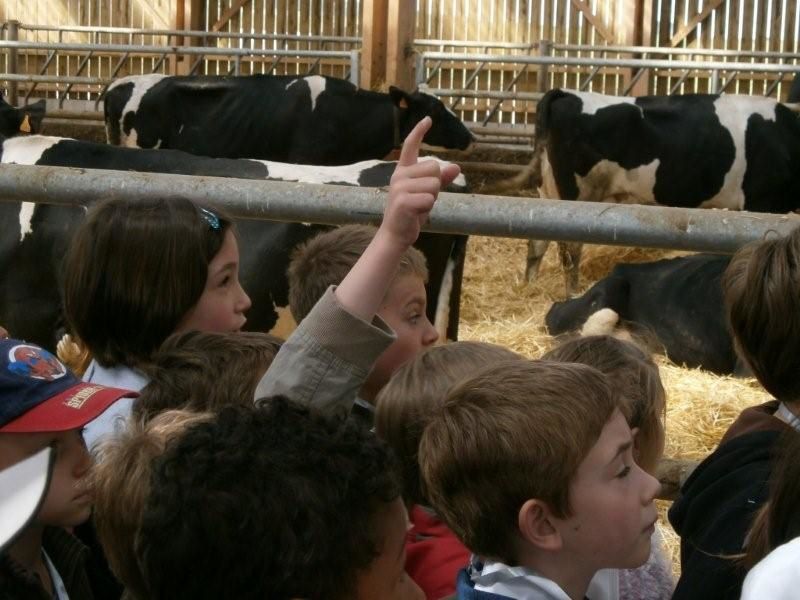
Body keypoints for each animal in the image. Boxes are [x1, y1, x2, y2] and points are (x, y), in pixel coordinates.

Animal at [524, 88, 800, 292]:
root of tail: (565, 93)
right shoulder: (762, 202)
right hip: (576, 197)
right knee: (570, 251)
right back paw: (571, 293)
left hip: (547, 194)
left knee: (537, 242)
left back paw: (529, 287)